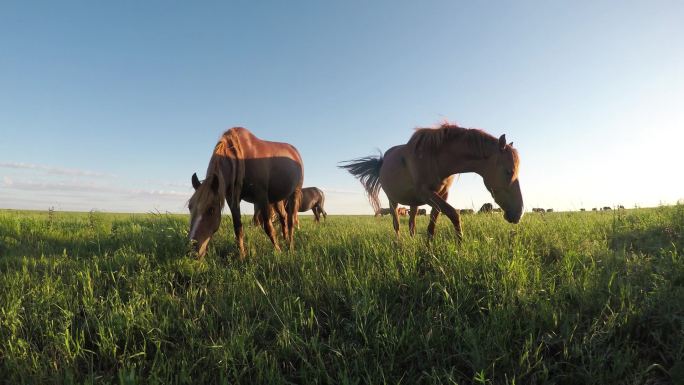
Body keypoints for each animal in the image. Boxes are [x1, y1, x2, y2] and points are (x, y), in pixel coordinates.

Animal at [188, 127, 304, 258]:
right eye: (189, 207)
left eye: (211, 210)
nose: (192, 251)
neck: (240, 156)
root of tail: (295, 152)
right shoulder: (232, 199)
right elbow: (238, 228)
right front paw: (242, 255)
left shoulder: (262, 197)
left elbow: (268, 227)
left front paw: (278, 251)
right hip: (277, 199)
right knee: (283, 217)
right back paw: (285, 240)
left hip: (294, 194)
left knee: (291, 221)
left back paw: (290, 247)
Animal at [340, 123, 524, 240]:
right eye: (509, 171)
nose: (519, 213)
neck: (435, 157)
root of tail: (382, 162)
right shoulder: (427, 194)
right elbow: (454, 214)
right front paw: (460, 246)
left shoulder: (442, 194)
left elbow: (431, 227)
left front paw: (429, 253)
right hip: (393, 201)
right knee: (397, 225)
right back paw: (400, 246)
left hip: (413, 203)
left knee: (412, 224)